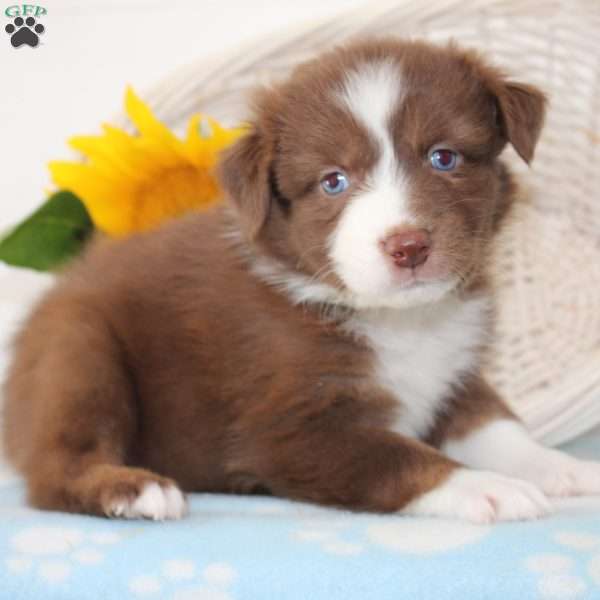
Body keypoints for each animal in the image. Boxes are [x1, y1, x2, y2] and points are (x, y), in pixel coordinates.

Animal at [2, 38, 596, 524]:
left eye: (443, 156)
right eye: (334, 181)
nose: (408, 247)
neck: (397, 319)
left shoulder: (454, 373)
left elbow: (497, 424)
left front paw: (560, 467)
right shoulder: (289, 430)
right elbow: (398, 456)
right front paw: (488, 488)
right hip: (79, 352)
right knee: (55, 468)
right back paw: (133, 490)